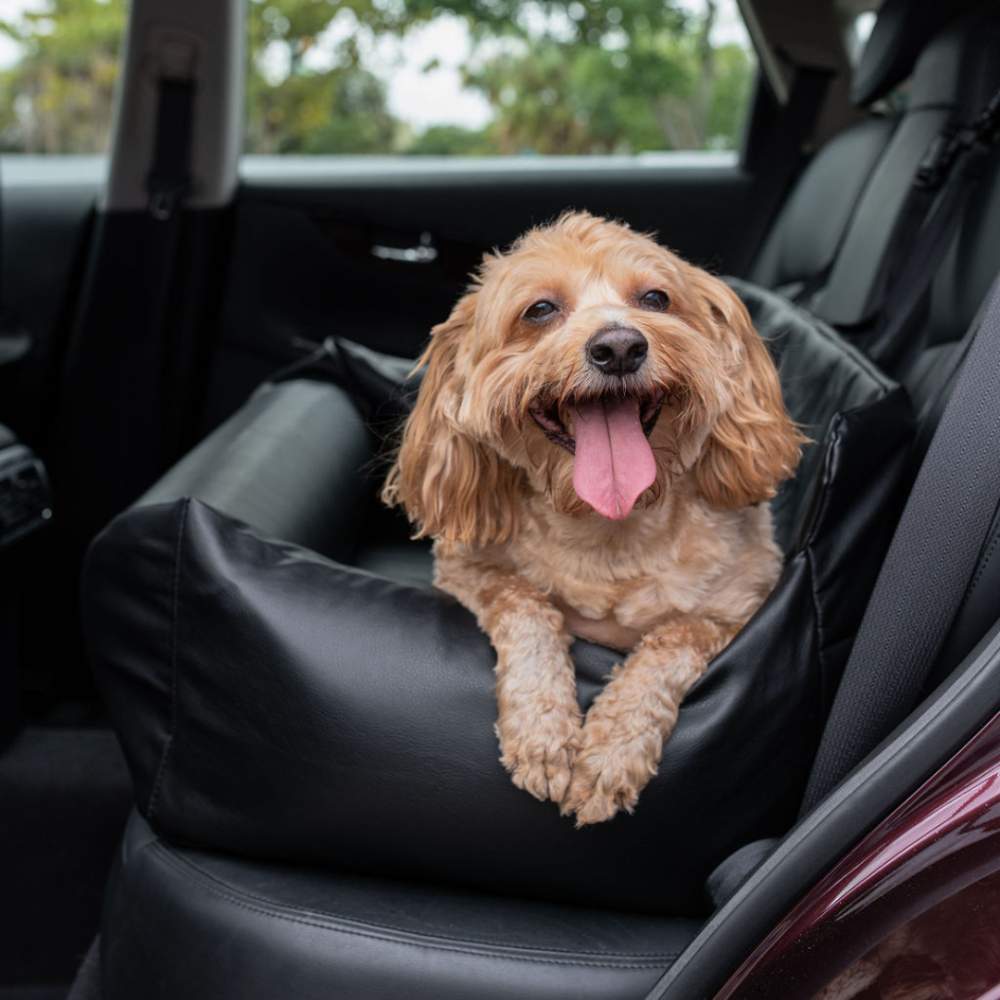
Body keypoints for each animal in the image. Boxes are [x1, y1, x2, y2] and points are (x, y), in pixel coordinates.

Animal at [382, 209, 804, 820]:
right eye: (539, 310)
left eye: (655, 298)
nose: (621, 346)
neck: (609, 529)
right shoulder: (468, 571)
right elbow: (526, 603)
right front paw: (543, 733)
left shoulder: (738, 609)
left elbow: (672, 639)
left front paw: (610, 752)